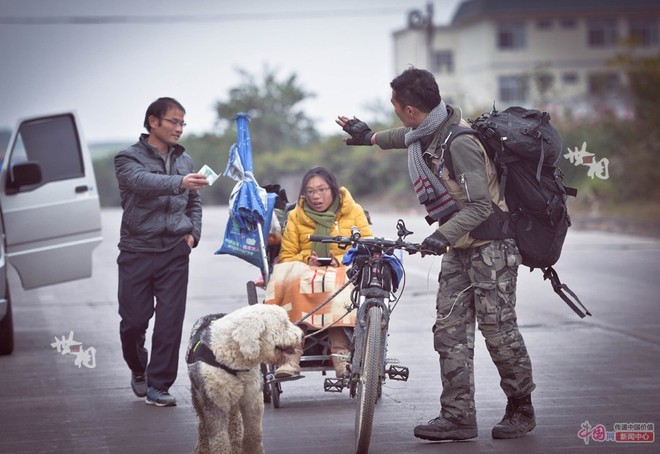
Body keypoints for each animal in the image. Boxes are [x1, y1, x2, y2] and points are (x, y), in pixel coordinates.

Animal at [187, 304, 302, 454]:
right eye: (283, 323)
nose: (302, 335)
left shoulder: (252, 399)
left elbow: (254, 434)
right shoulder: (215, 401)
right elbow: (219, 438)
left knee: (234, 422)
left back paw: (236, 446)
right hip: (199, 397)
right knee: (202, 424)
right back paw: (202, 448)